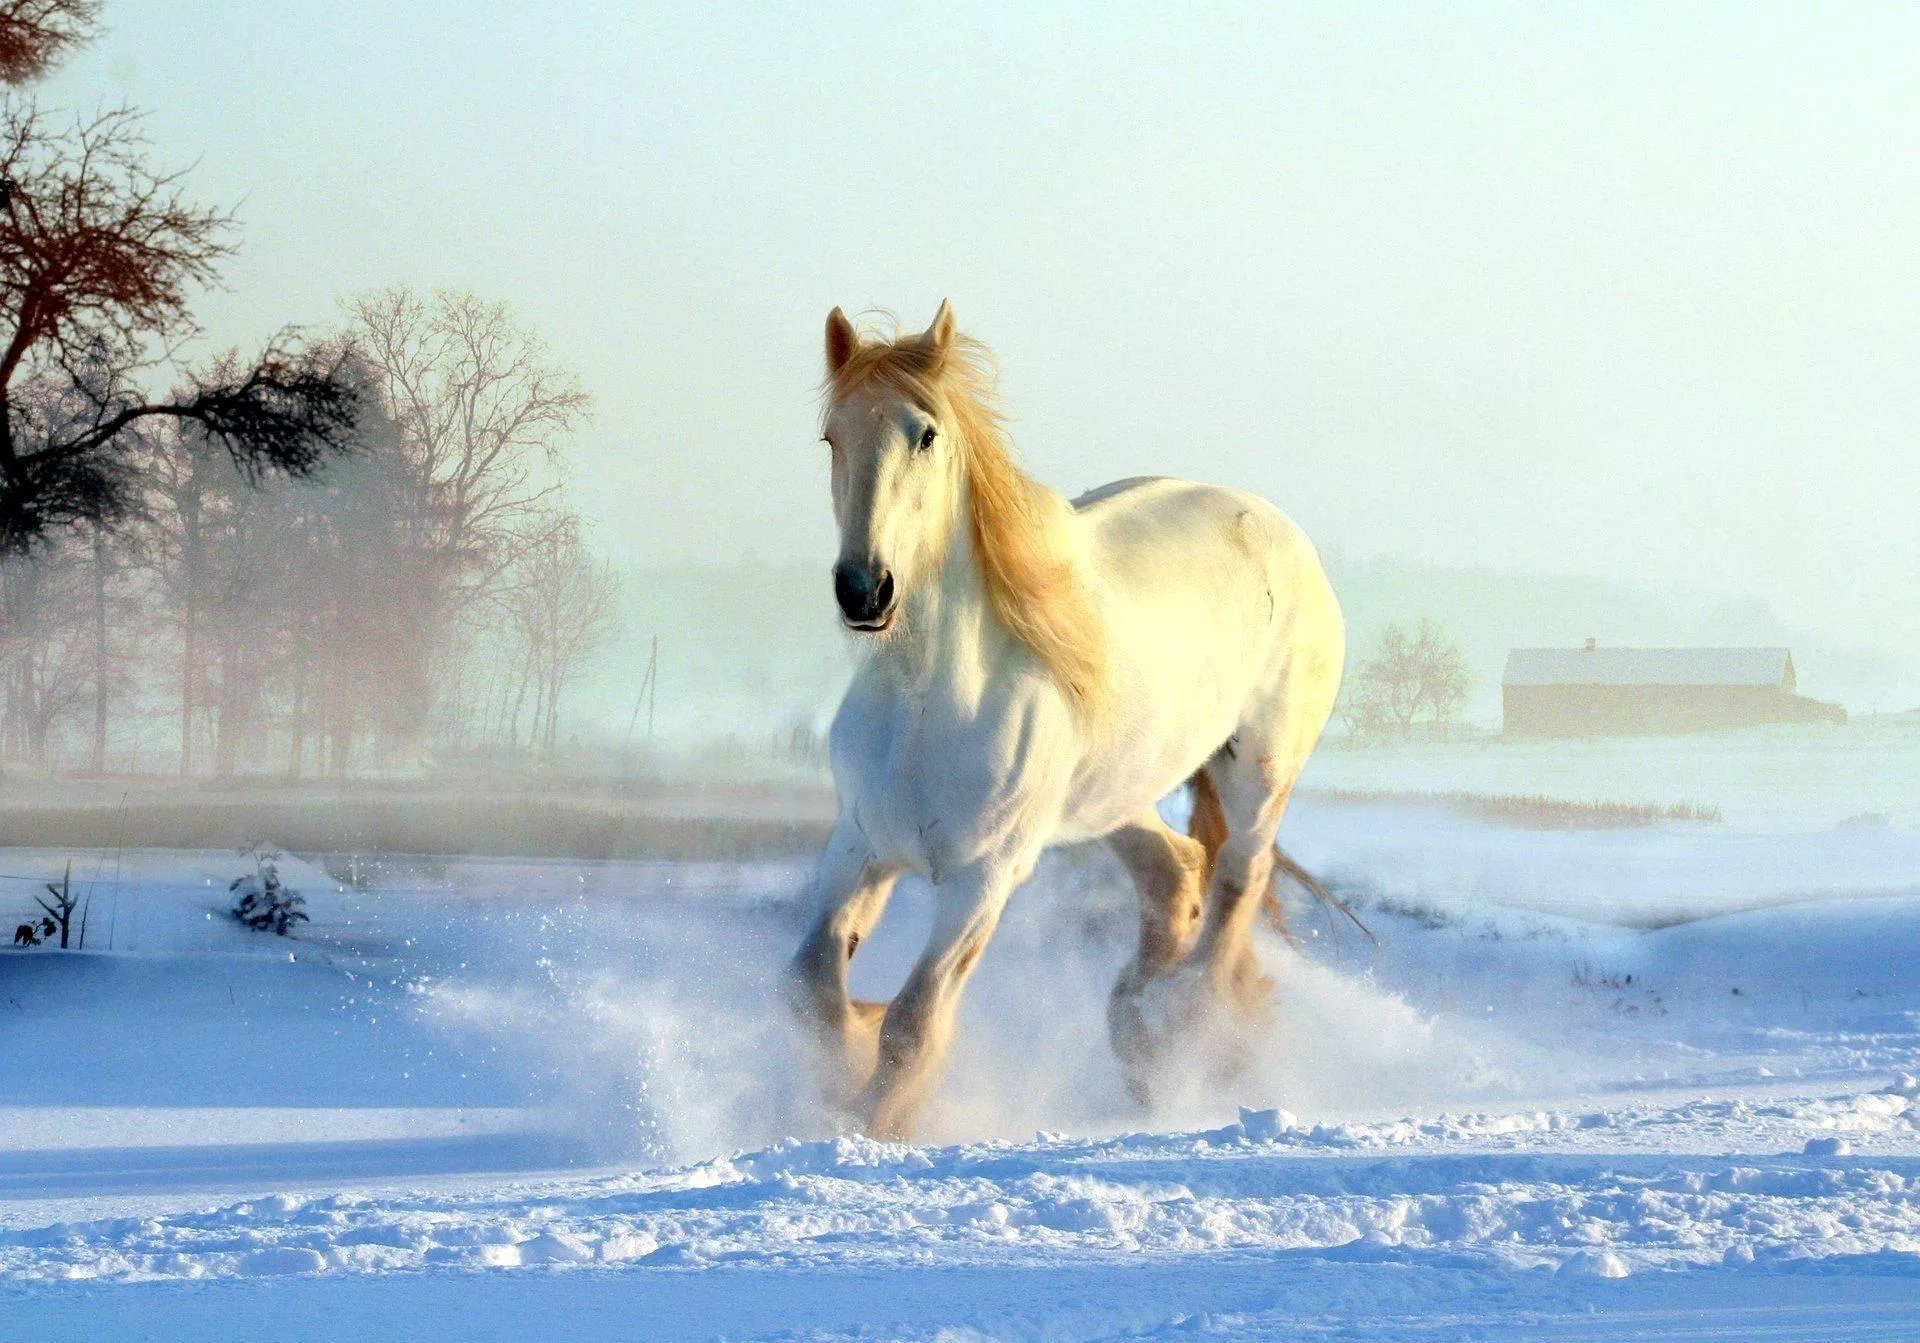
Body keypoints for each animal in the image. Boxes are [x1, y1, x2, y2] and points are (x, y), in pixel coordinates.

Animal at [789, 301, 1345, 1139]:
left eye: (926, 434)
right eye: (832, 436)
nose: (864, 590)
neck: (929, 705)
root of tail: (1286, 534)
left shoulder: (984, 877)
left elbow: (913, 1025)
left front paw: (875, 1124)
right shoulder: (861, 844)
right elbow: (813, 987)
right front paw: (847, 1056)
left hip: (1259, 769)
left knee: (1236, 880)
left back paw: (1186, 1027)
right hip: (1114, 795)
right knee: (1176, 872)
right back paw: (1139, 1034)